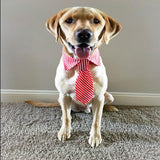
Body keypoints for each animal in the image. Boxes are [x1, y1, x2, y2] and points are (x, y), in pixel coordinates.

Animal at [27, 7, 121, 148]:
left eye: (96, 21)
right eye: (68, 20)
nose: (84, 34)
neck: (81, 62)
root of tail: (83, 109)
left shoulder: (99, 97)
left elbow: (96, 121)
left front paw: (95, 137)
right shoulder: (64, 95)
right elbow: (67, 117)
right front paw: (65, 132)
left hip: (108, 96)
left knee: (97, 111)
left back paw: (108, 108)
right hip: (61, 99)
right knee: (67, 112)